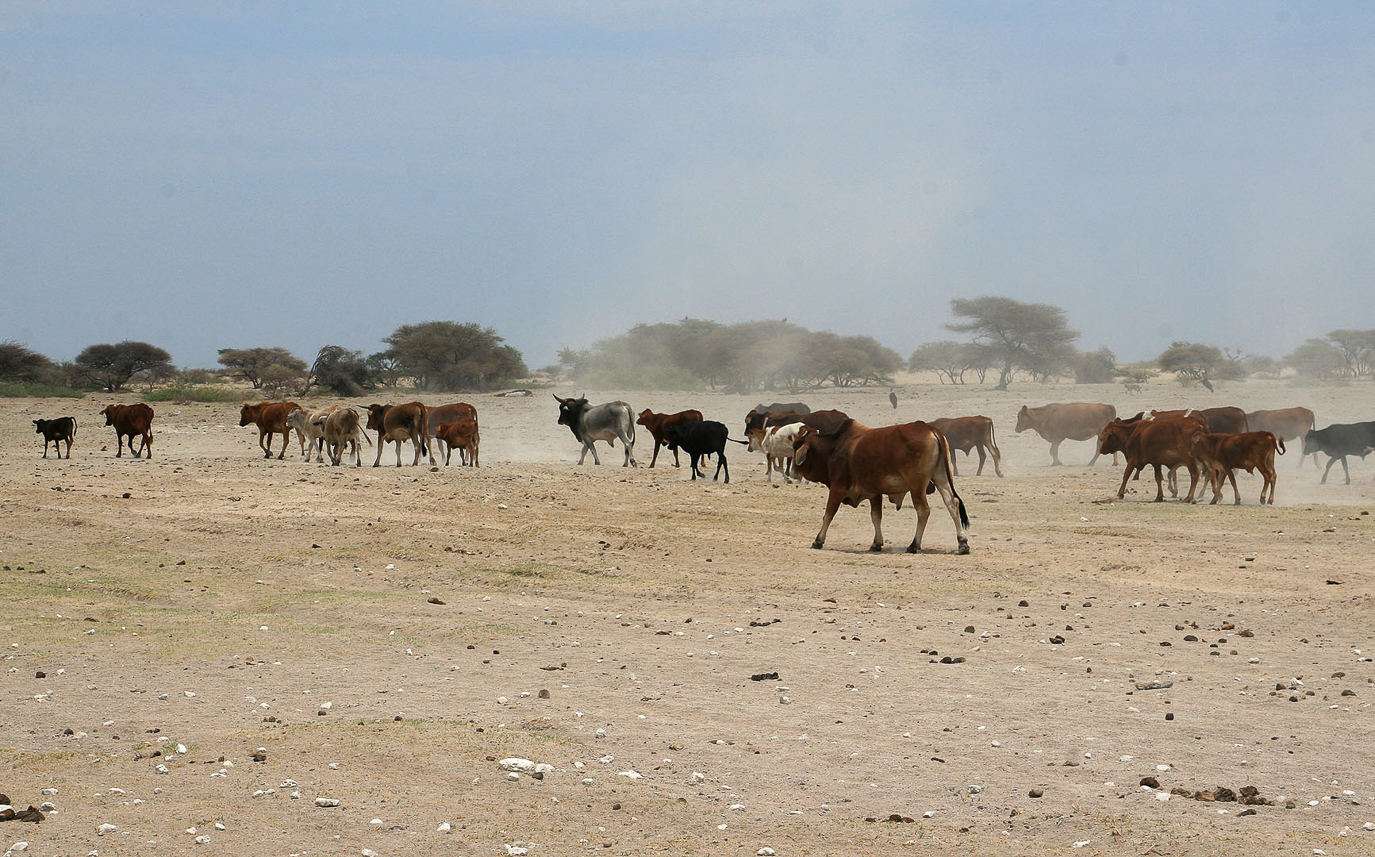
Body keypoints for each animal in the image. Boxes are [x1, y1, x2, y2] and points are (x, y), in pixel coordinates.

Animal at [792, 418, 973, 552]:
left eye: (796, 446)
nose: (792, 472)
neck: (834, 447)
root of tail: (931, 429)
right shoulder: (874, 493)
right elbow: (876, 517)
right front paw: (876, 543)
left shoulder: (837, 489)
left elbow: (828, 514)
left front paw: (818, 540)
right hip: (941, 477)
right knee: (952, 503)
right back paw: (962, 542)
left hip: (917, 487)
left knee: (923, 511)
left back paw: (914, 545)